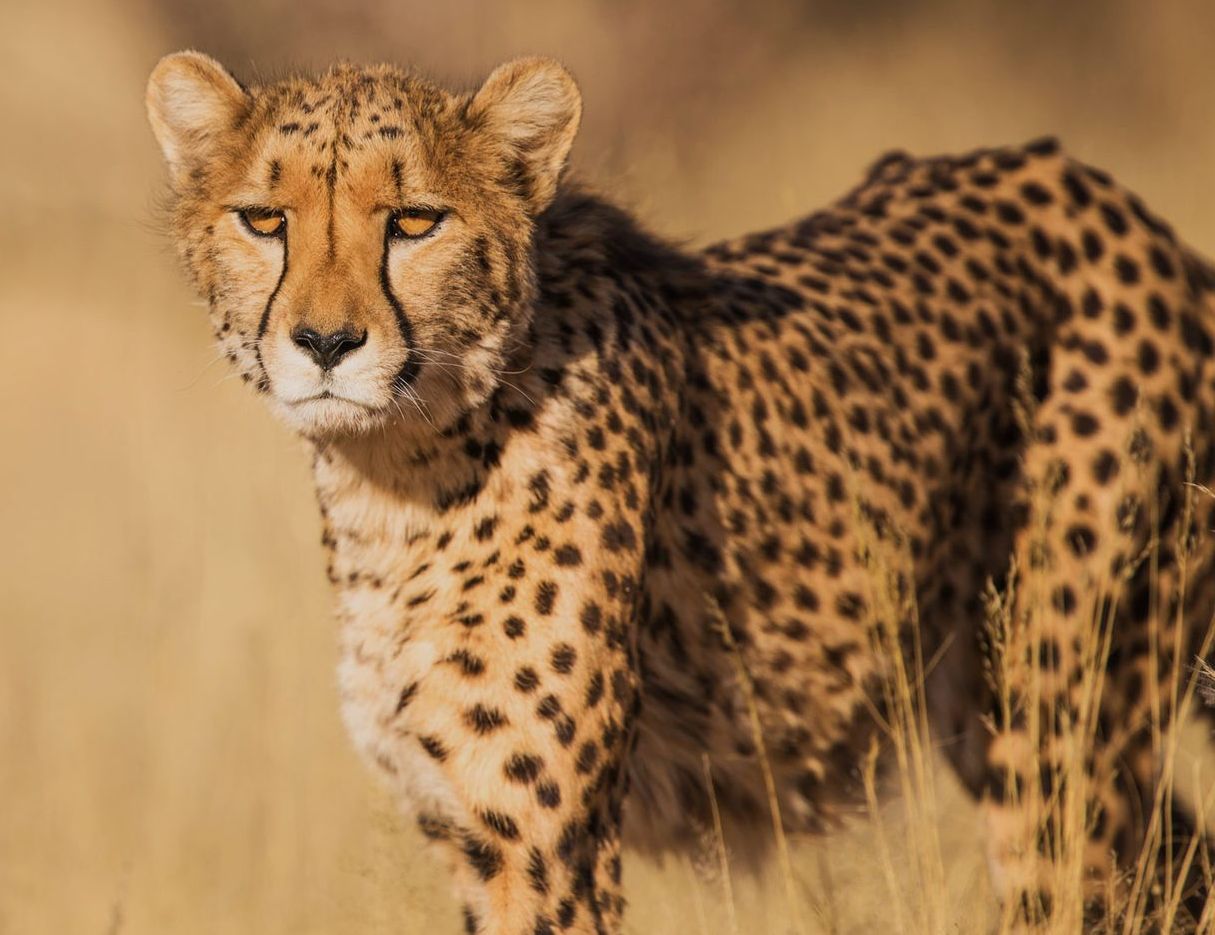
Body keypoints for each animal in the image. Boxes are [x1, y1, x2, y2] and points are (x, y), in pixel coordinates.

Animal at [146, 50, 1215, 933]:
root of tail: (1113, 202)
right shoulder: (465, 827)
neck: (398, 473)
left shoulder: (545, 844)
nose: (325, 343)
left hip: (1060, 727)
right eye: (264, 219)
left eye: (414, 221)